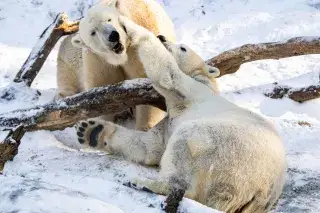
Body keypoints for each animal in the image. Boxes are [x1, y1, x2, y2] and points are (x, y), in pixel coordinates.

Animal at [56, 0, 184, 131]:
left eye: (109, 19)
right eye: (93, 32)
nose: (113, 36)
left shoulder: (136, 49)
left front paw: (145, 127)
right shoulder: (99, 59)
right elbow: (100, 99)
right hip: (66, 63)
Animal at [75, 15, 288, 212]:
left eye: (183, 48)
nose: (162, 37)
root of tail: (262, 192)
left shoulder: (191, 91)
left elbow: (167, 75)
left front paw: (127, 23)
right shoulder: (170, 118)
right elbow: (149, 147)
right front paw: (90, 130)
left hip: (225, 148)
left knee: (186, 146)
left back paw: (144, 183)